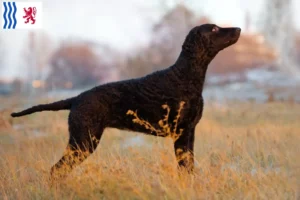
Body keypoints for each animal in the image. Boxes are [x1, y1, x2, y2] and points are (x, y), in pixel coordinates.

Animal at [11, 24, 241, 179]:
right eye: (214, 29)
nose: (238, 28)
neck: (184, 76)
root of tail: (76, 98)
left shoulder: (189, 132)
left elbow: (189, 167)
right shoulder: (181, 132)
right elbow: (185, 168)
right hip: (83, 141)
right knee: (56, 170)